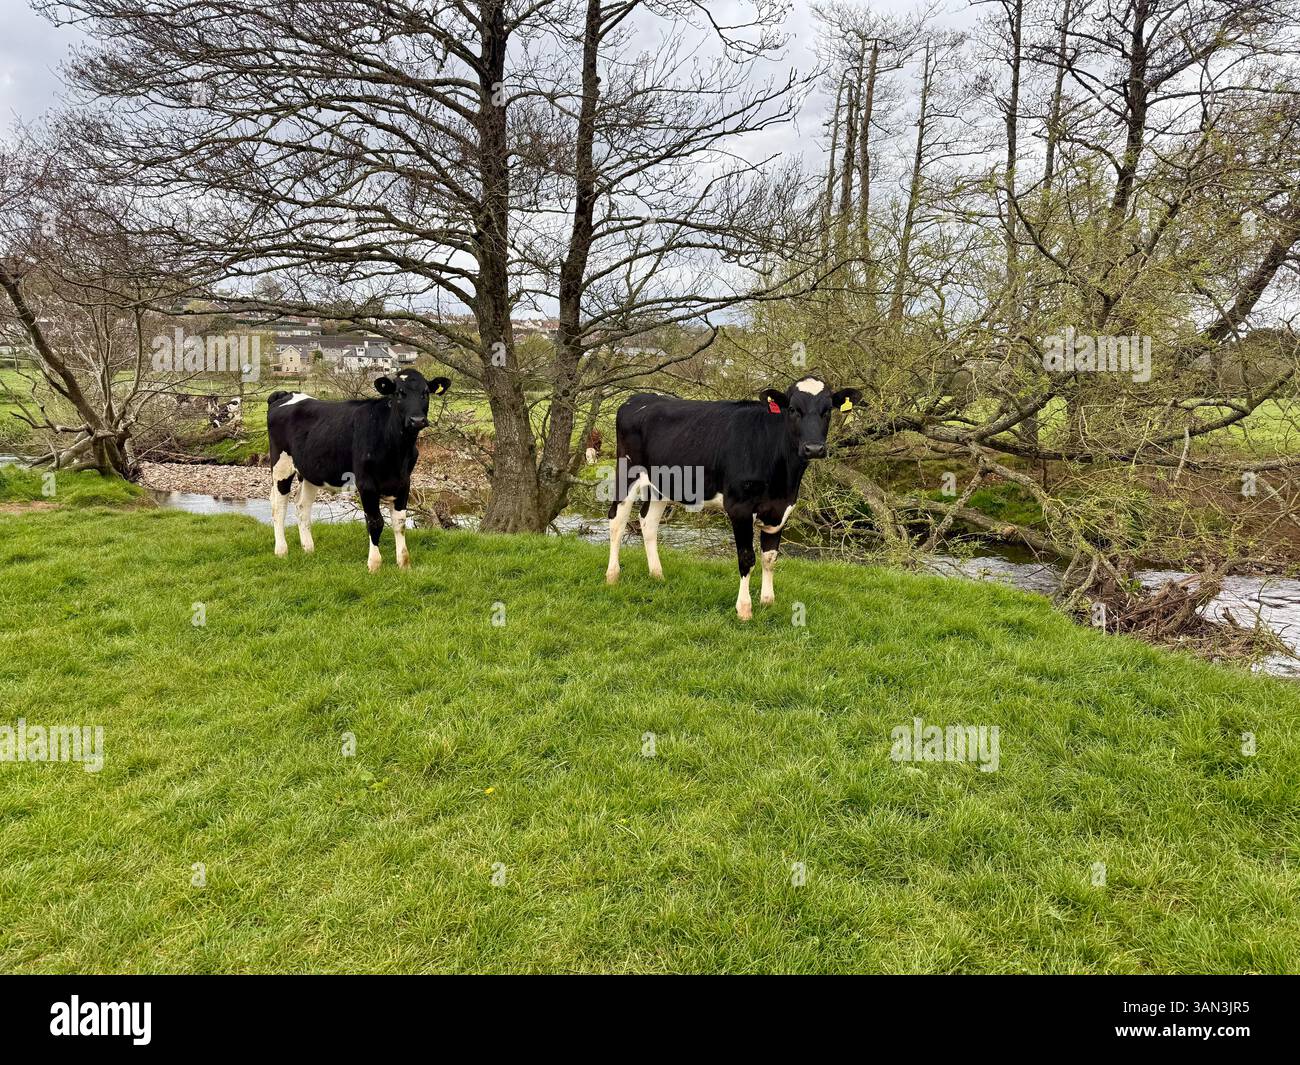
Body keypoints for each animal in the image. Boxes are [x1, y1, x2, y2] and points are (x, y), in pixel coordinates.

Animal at [265, 369, 451, 571]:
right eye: (399, 393)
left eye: (425, 392)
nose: (417, 420)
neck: (396, 449)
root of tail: (286, 394)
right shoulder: (366, 484)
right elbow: (375, 522)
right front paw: (374, 564)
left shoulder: (404, 482)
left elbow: (400, 523)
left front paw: (403, 563)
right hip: (281, 465)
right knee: (278, 507)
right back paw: (281, 551)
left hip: (310, 472)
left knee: (302, 506)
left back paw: (308, 549)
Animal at [605, 376, 861, 619]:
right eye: (792, 409)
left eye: (827, 410)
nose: (814, 448)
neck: (782, 479)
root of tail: (638, 398)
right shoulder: (740, 507)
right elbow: (747, 558)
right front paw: (744, 609)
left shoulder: (781, 509)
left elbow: (770, 557)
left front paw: (767, 602)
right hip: (628, 472)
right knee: (617, 519)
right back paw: (612, 576)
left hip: (662, 483)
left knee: (648, 522)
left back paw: (657, 575)